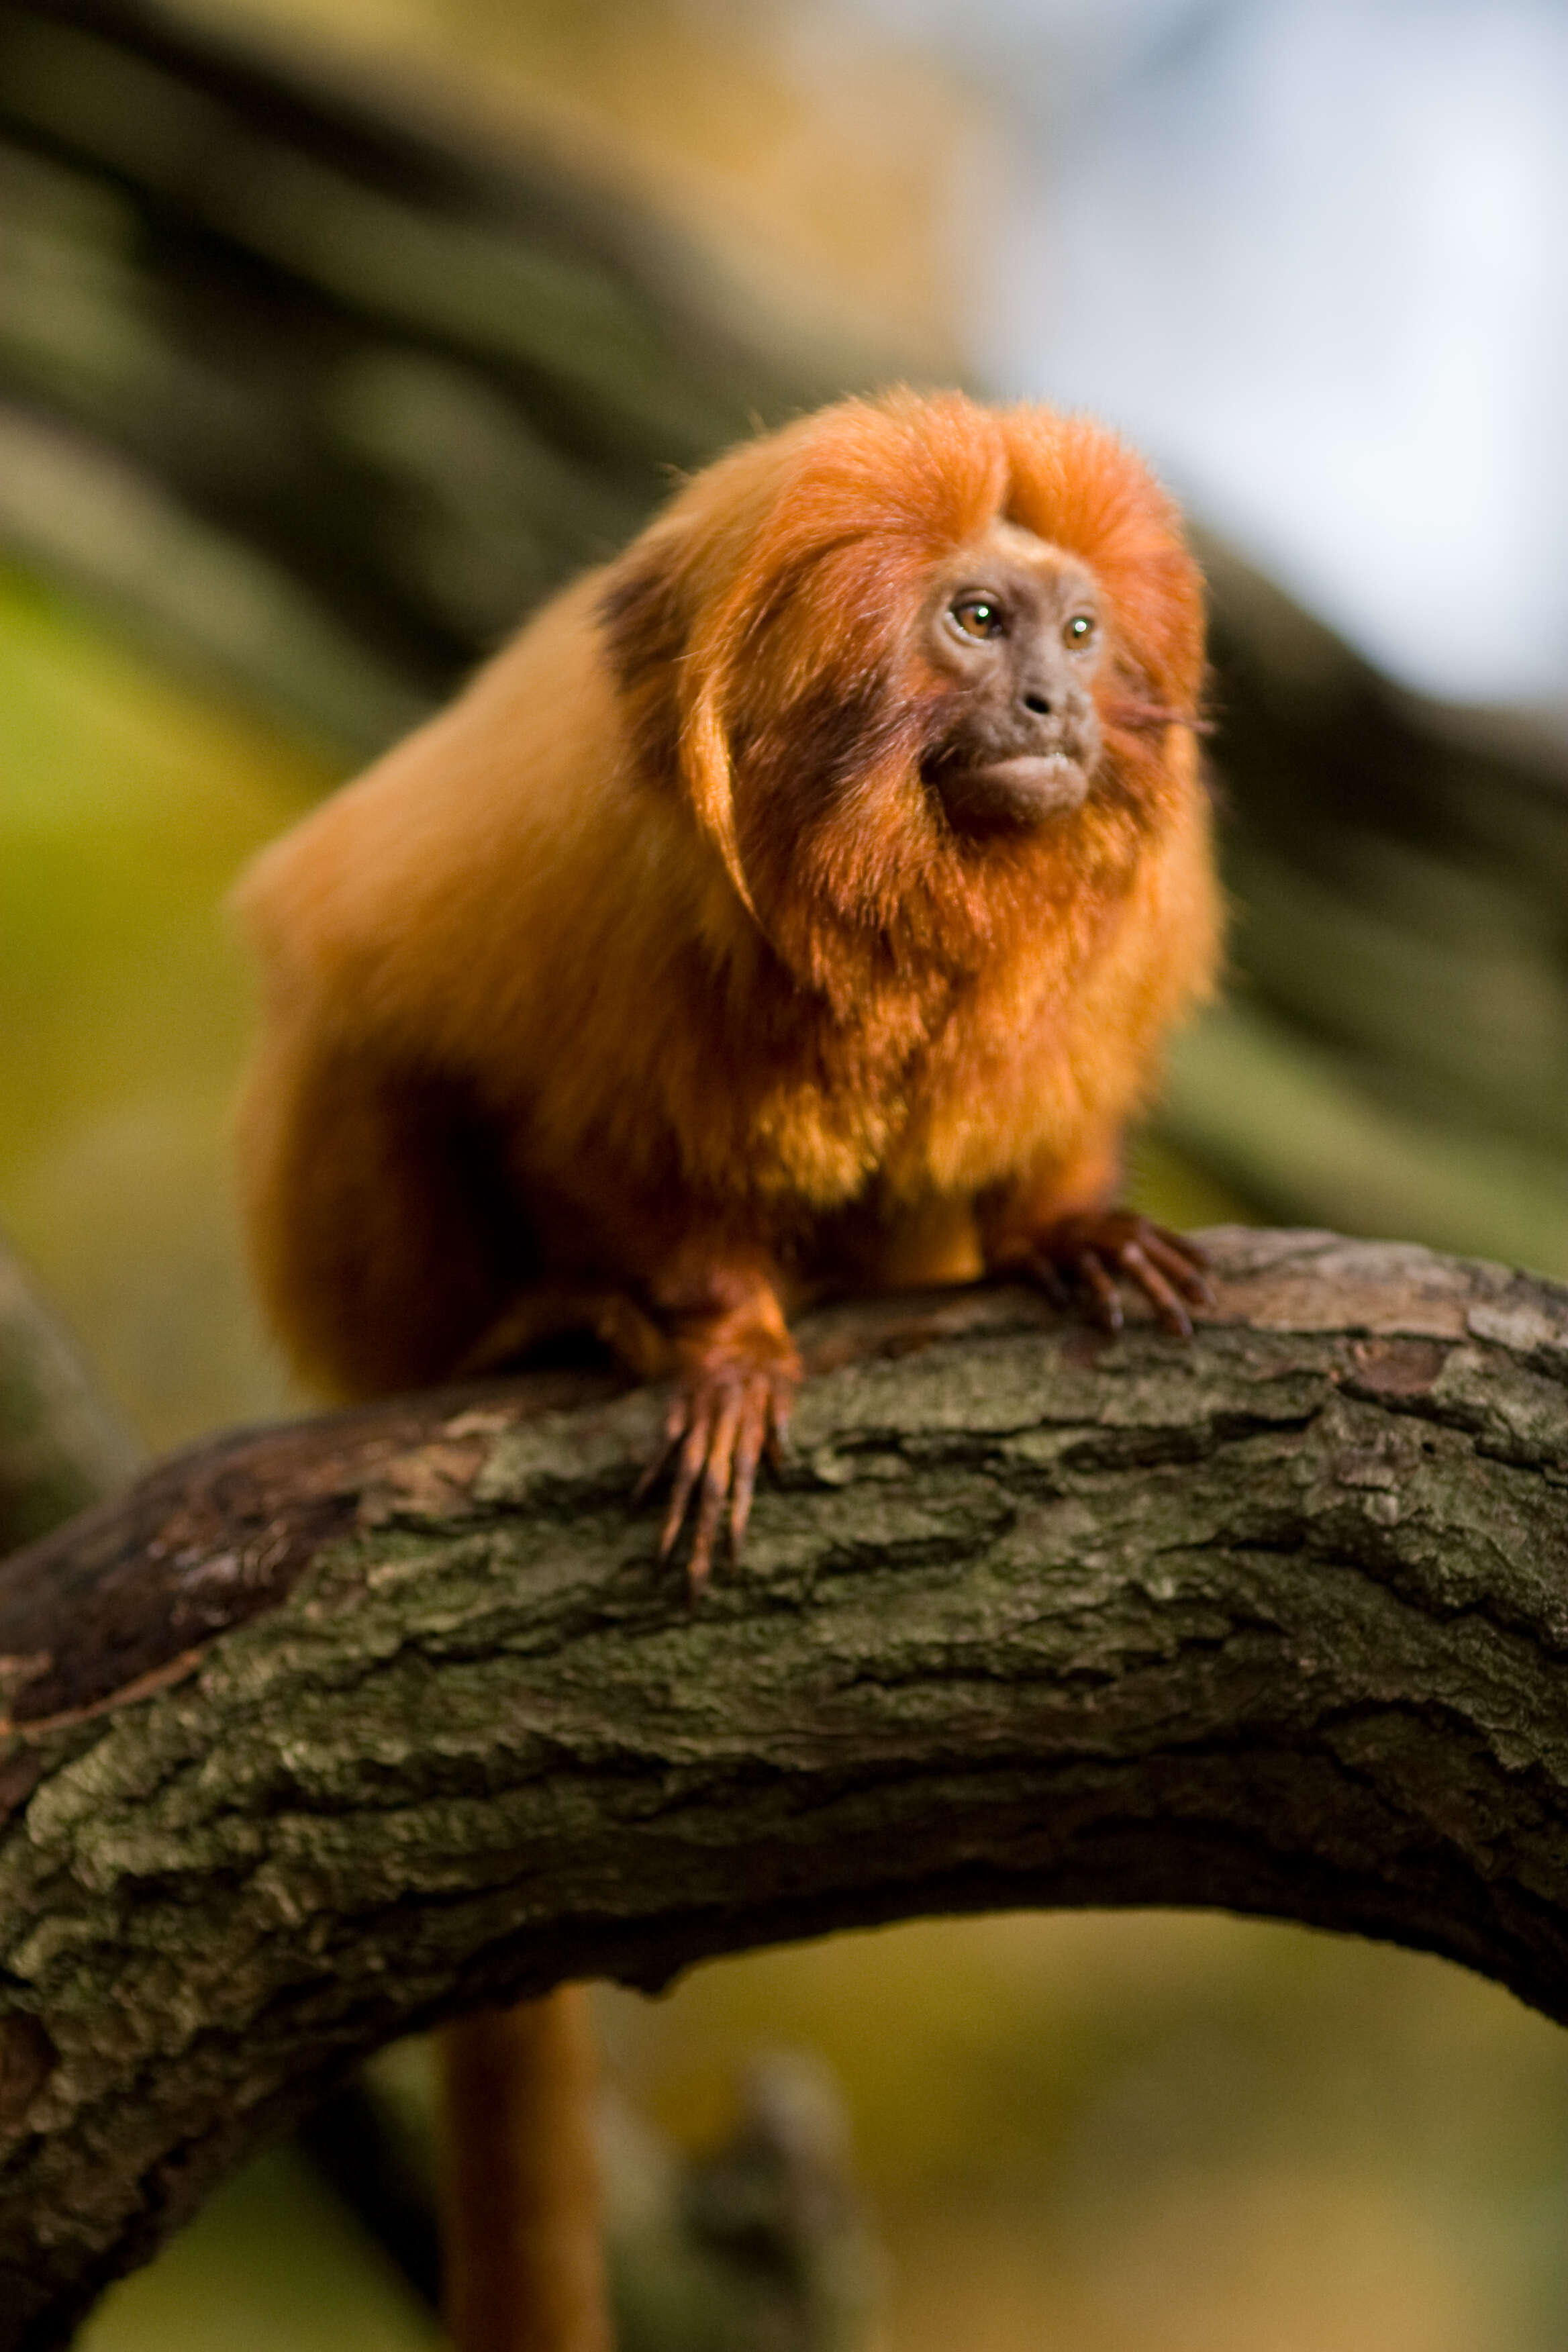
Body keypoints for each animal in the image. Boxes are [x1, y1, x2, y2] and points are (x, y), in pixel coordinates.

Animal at [230, 385, 1213, 2352]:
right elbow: (564, 1119)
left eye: (1081, 634)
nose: (1055, 706)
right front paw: (718, 1344)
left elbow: (1041, 1113)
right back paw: (547, 1325)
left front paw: (1074, 1228)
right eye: (978, 624)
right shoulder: (587, 911)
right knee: (368, 1038)